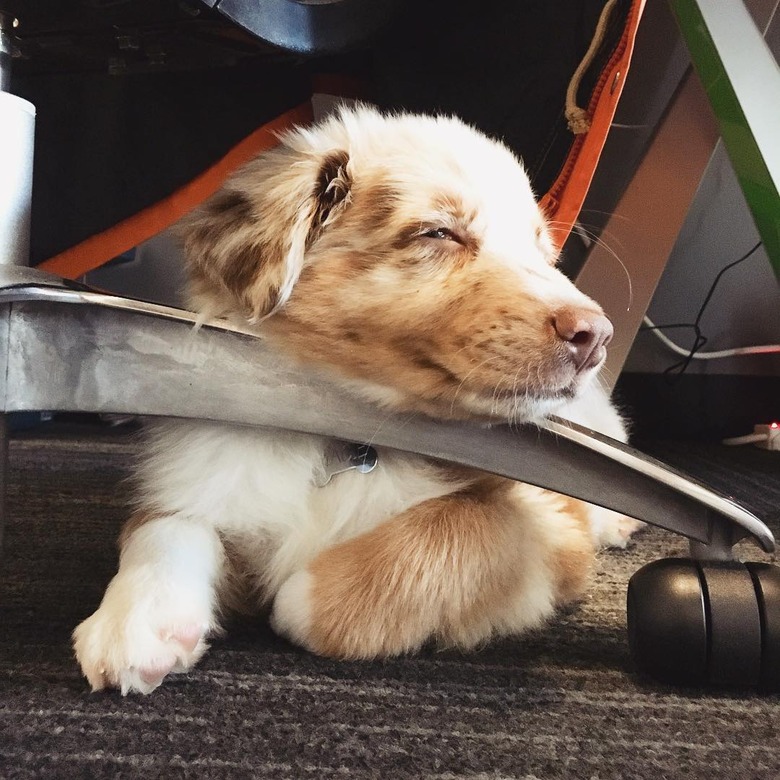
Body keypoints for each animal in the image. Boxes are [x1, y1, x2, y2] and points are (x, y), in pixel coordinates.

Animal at [73, 105, 640, 696]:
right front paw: (136, 622)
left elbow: (452, 526)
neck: (345, 436)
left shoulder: (549, 521)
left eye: (543, 253)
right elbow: (165, 524)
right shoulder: (209, 471)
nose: (596, 336)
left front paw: (305, 599)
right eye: (438, 232)